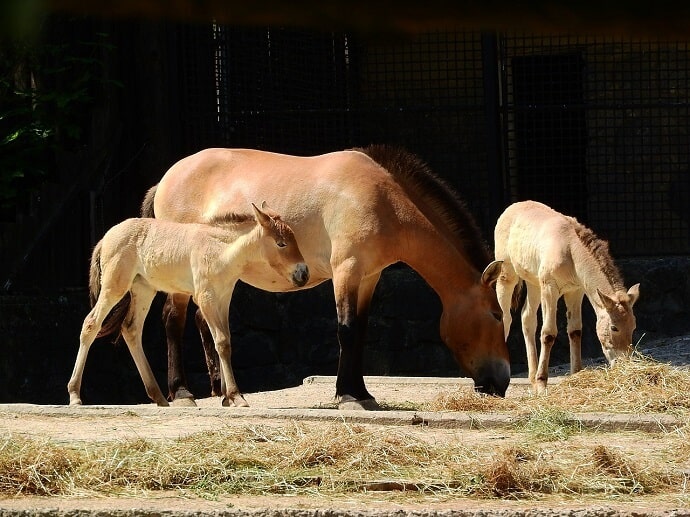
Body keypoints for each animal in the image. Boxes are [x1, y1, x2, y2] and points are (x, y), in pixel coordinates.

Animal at [66, 203, 308, 408]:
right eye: (281, 243)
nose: (303, 274)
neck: (220, 251)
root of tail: (105, 238)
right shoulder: (206, 298)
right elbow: (221, 342)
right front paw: (236, 396)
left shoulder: (223, 298)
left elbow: (226, 341)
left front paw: (227, 397)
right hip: (114, 287)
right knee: (91, 324)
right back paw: (75, 395)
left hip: (143, 290)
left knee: (131, 329)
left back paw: (159, 397)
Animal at [141, 145, 506, 408]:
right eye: (496, 314)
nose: (501, 382)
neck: (383, 201)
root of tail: (164, 181)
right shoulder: (346, 269)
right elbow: (346, 330)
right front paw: (347, 396)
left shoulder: (369, 277)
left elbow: (360, 332)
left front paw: (362, 393)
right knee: (173, 320)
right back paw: (182, 393)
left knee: (203, 320)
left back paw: (219, 391)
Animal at [492, 200, 636, 394]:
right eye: (614, 328)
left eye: (634, 326)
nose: (623, 364)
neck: (570, 249)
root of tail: (513, 207)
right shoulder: (549, 288)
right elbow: (548, 333)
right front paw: (542, 384)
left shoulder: (575, 291)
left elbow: (575, 330)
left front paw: (576, 374)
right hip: (507, 276)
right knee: (505, 318)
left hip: (533, 283)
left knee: (527, 318)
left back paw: (532, 380)